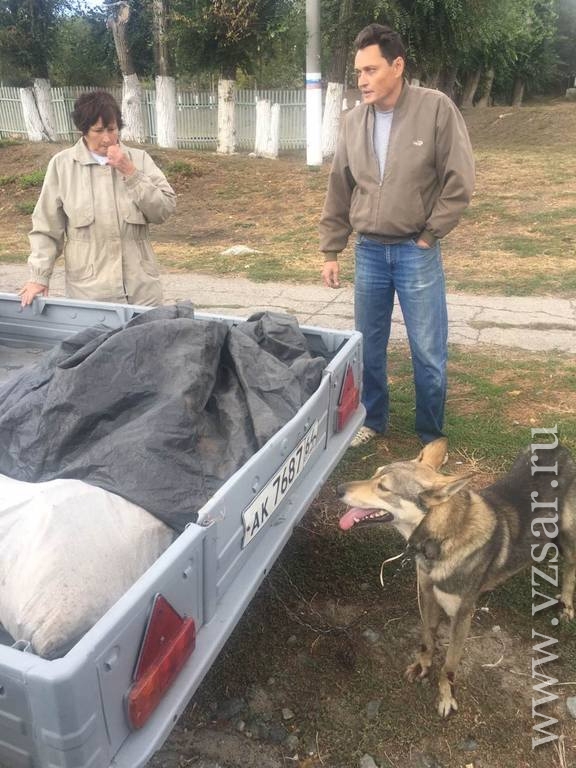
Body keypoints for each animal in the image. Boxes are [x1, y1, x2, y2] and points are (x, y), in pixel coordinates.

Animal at [337, 437, 576, 717]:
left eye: (383, 487)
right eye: (374, 473)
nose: (338, 489)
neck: (441, 539)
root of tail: (557, 446)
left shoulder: (462, 615)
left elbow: (449, 664)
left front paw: (445, 696)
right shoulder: (427, 596)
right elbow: (427, 640)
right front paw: (422, 667)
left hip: (567, 538)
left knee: (570, 568)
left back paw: (566, 605)